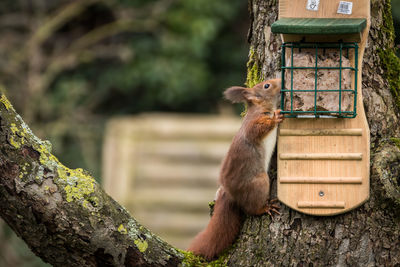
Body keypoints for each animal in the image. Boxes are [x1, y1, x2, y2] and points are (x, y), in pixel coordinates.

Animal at [189, 79, 282, 262]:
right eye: (266, 86)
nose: (280, 81)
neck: (260, 107)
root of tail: (230, 193)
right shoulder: (253, 124)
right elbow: (259, 128)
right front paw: (276, 116)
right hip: (260, 181)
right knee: (251, 209)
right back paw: (265, 208)